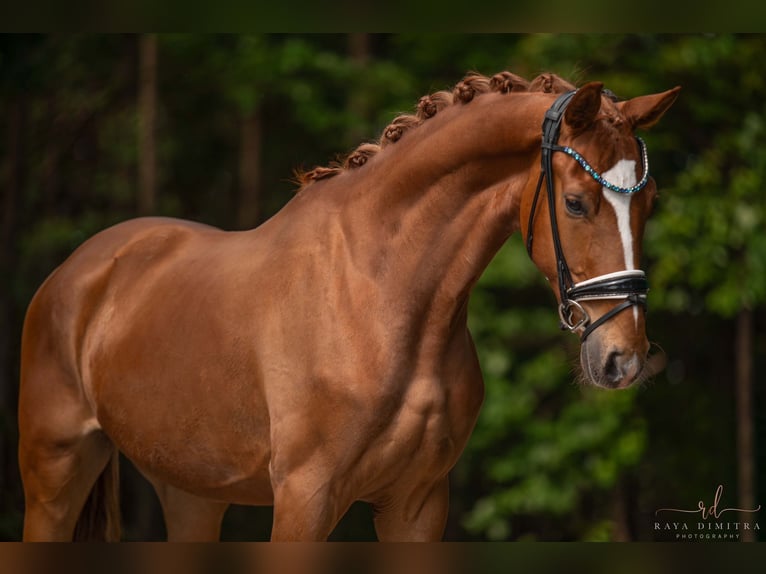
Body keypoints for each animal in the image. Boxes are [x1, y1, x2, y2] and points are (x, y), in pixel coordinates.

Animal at [16, 71, 680, 540]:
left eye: (650, 204)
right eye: (575, 203)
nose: (624, 357)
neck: (377, 295)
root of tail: (77, 273)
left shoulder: (416, 504)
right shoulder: (305, 498)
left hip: (192, 493)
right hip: (54, 476)